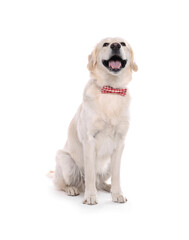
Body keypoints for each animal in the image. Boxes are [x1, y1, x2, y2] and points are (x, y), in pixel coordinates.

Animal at [52, 37, 137, 204]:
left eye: (123, 43)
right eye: (105, 44)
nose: (115, 45)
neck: (111, 90)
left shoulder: (120, 142)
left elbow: (117, 175)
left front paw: (117, 193)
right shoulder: (89, 140)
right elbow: (90, 174)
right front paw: (90, 196)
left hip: (107, 164)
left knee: (99, 181)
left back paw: (108, 187)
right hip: (65, 160)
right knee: (63, 183)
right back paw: (72, 189)